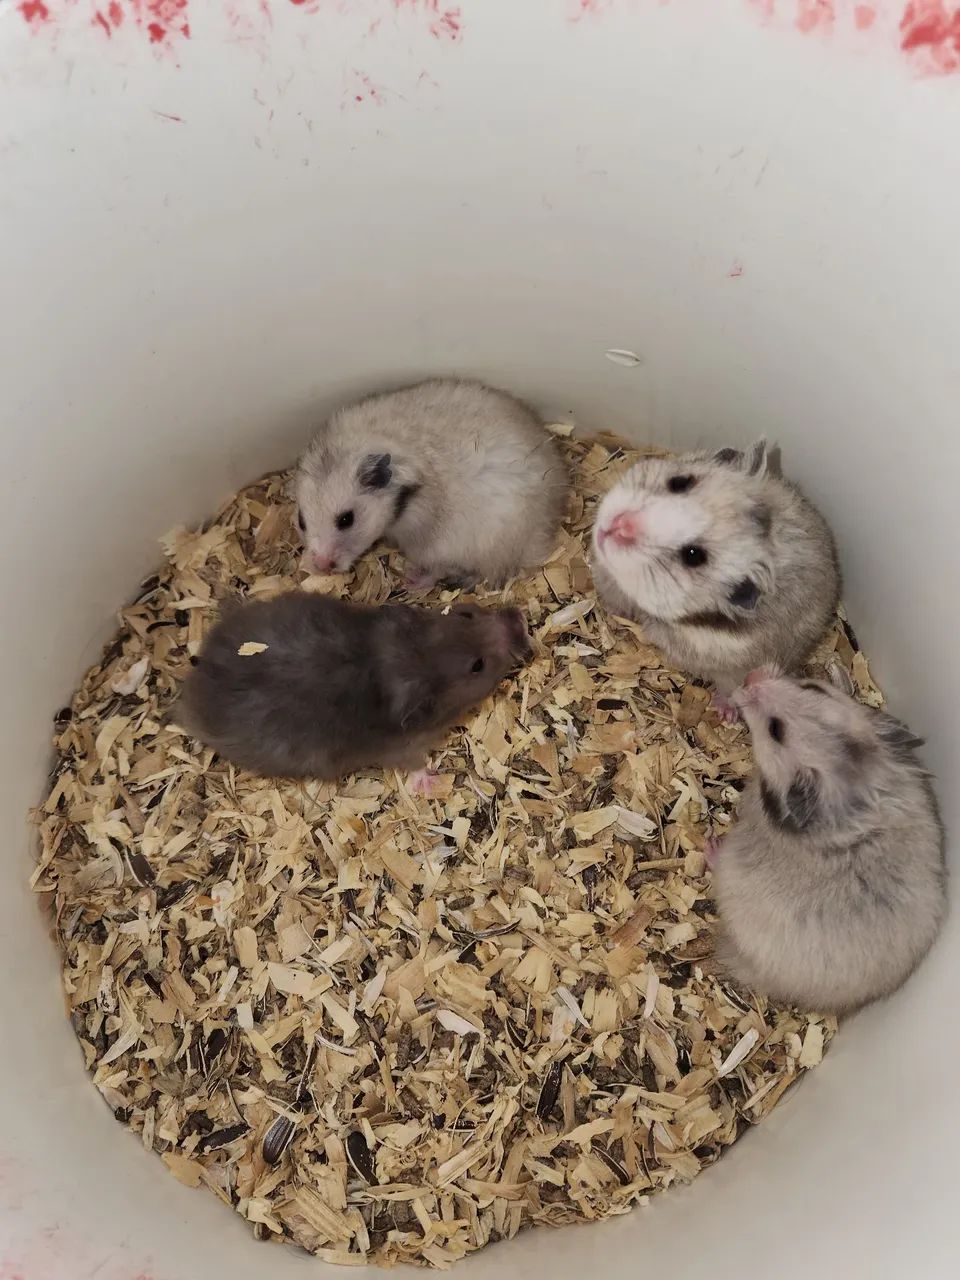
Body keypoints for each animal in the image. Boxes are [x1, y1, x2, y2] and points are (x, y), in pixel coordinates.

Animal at [174, 591, 531, 787]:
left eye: (467, 613)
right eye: (477, 666)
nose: (518, 619)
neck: (401, 663)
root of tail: (192, 687)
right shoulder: (402, 748)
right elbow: (414, 764)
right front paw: (433, 781)